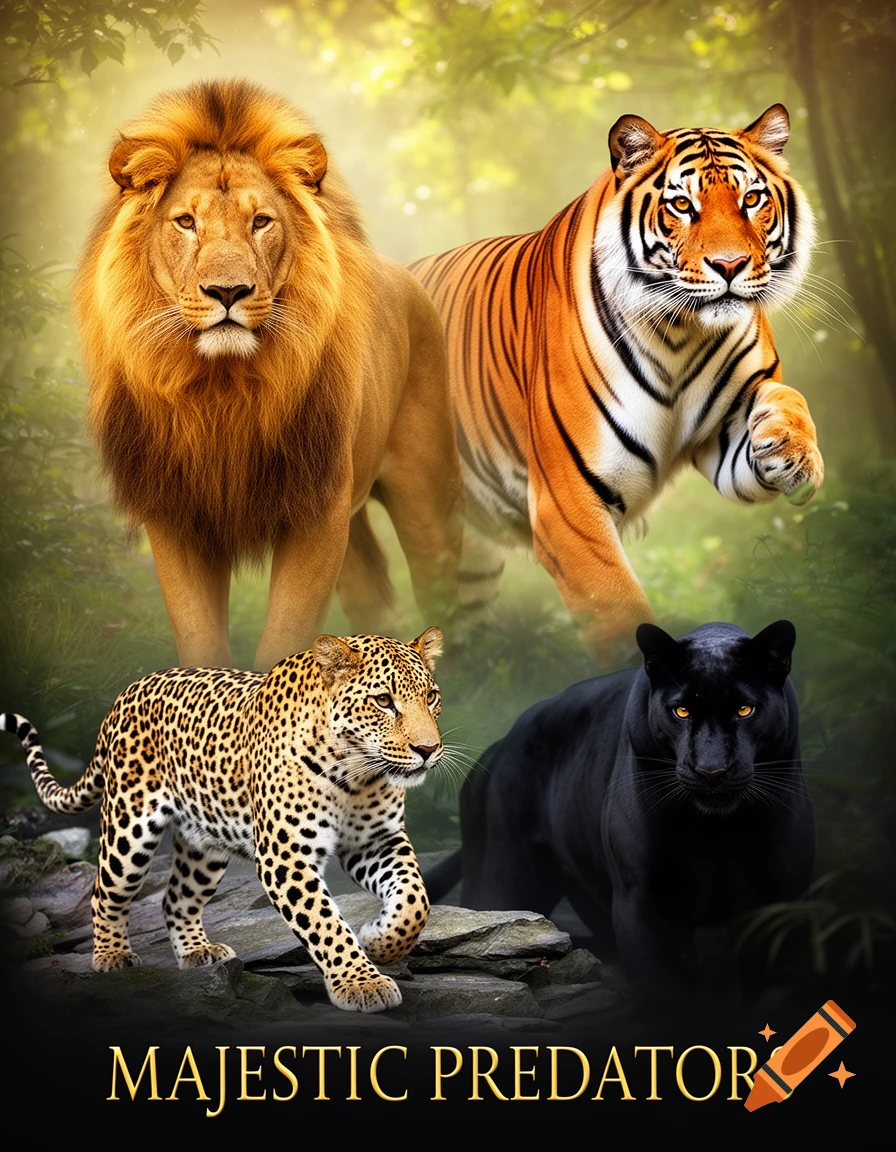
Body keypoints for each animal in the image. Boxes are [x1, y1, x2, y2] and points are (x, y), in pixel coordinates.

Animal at [1, 628, 444, 1013]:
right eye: (383, 700)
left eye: (431, 697)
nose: (428, 749)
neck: (357, 776)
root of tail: (126, 692)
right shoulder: (287, 857)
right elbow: (324, 923)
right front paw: (360, 983)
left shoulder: (377, 841)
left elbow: (414, 900)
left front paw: (378, 938)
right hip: (129, 831)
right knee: (104, 891)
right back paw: (111, 955)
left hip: (204, 849)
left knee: (175, 898)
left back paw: (199, 951)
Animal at [74, 80, 463, 670]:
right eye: (186, 222)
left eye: (261, 222)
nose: (227, 291)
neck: (222, 387)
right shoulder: (175, 511)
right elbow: (201, 641)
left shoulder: (317, 509)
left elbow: (286, 637)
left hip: (426, 501)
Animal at [409, 104, 823, 655]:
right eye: (682, 205)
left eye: (751, 199)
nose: (730, 265)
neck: (680, 335)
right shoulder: (567, 510)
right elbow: (620, 619)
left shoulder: (725, 437)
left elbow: (785, 394)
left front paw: (790, 450)